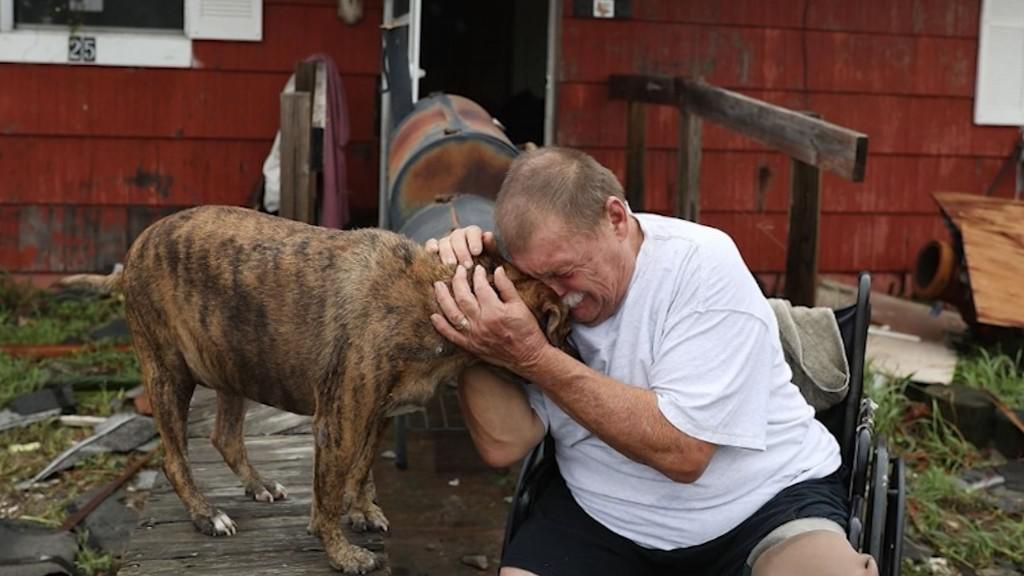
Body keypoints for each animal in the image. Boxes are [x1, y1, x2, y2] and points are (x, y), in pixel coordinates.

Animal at [98, 204, 573, 569]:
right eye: (563, 328)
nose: (575, 359)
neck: (435, 295)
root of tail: (135, 249)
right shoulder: (339, 423)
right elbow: (327, 495)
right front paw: (343, 554)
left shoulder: (378, 415)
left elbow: (359, 470)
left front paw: (360, 511)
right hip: (168, 374)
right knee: (174, 459)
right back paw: (206, 515)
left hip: (231, 362)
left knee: (225, 437)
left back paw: (259, 485)